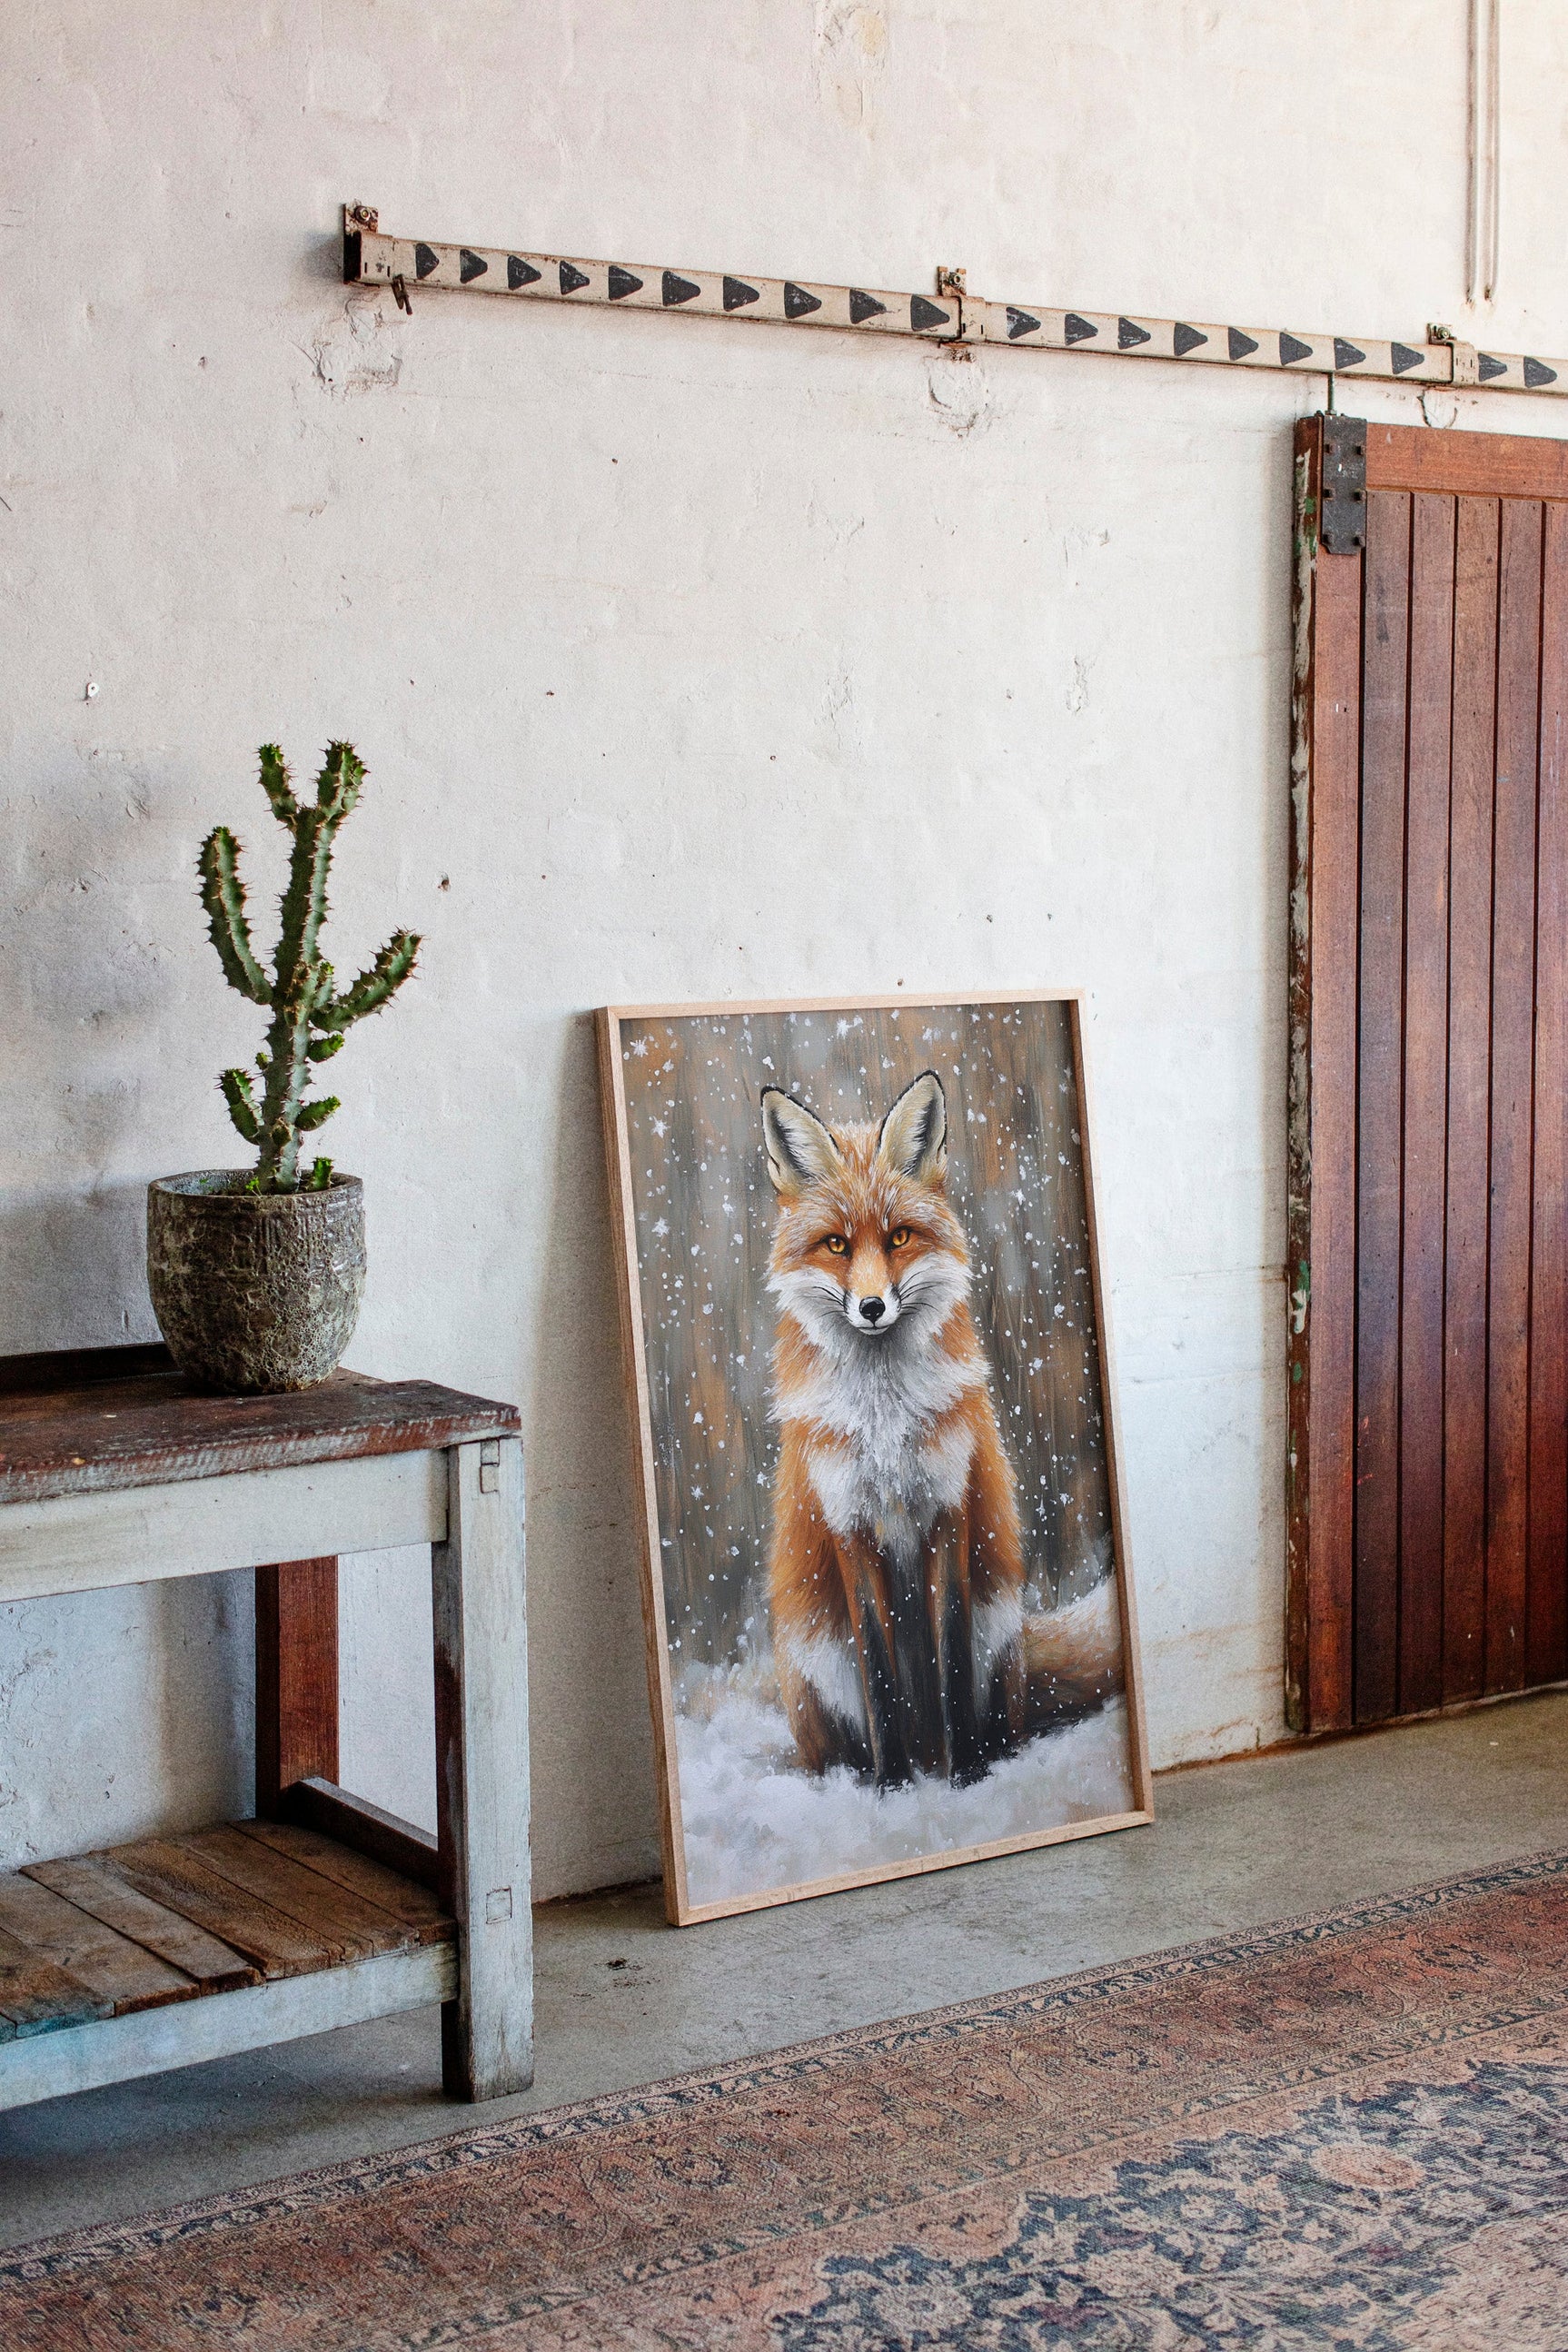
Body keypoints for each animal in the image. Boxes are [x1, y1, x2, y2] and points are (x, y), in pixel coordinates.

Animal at [762, 1068, 1122, 1790]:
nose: (873, 1306)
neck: (886, 1424)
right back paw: (860, 1778)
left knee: (1000, 1711)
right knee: (833, 1745)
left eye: (899, 1237)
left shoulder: (949, 1507)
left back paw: (981, 1756)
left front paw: (970, 1780)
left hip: (998, 1628)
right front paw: (893, 1789)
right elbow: (879, 1674)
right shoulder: (849, 1524)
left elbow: (951, 1657)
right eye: (837, 1244)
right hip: (816, 1661)